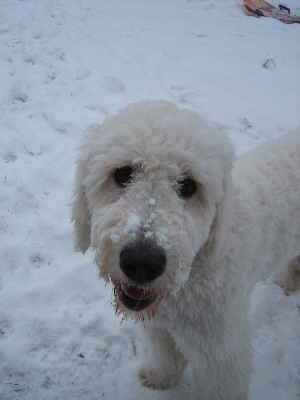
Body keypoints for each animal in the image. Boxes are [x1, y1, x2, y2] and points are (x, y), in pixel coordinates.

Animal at [72, 101, 300, 400]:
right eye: (122, 173)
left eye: (189, 185)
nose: (142, 263)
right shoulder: (159, 324)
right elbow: (166, 355)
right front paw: (159, 377)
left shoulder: (220, 351)